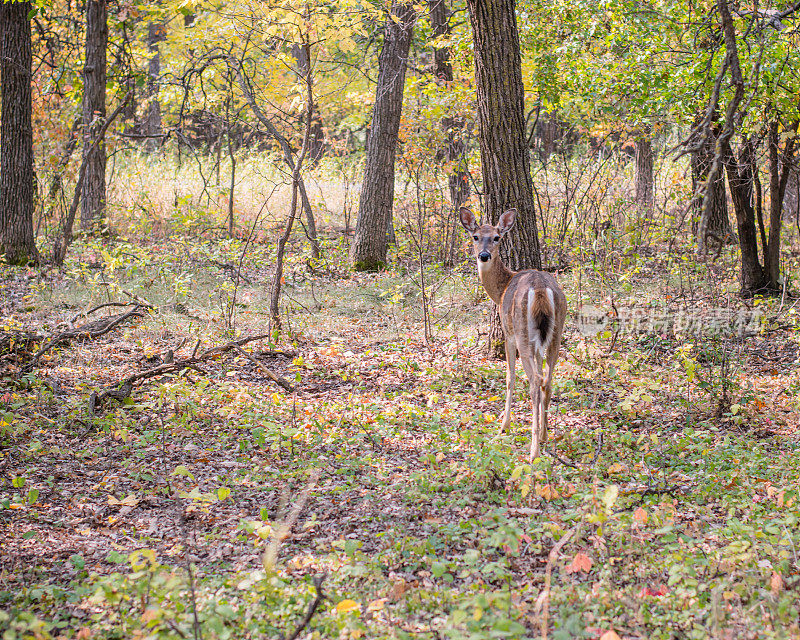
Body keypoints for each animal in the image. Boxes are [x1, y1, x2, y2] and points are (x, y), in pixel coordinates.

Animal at [460, 208, 564, 462]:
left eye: (497, 237)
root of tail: (540, 290)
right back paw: (544, 436)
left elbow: (509, 377)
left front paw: (504, 425)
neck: (502, 288)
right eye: (476, 236)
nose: (484, 255)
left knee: (535, 381)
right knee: (547, 379)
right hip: (557, 329)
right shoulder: (537, 344)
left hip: (521, 330)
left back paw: (533, 451)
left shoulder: (508, 333)